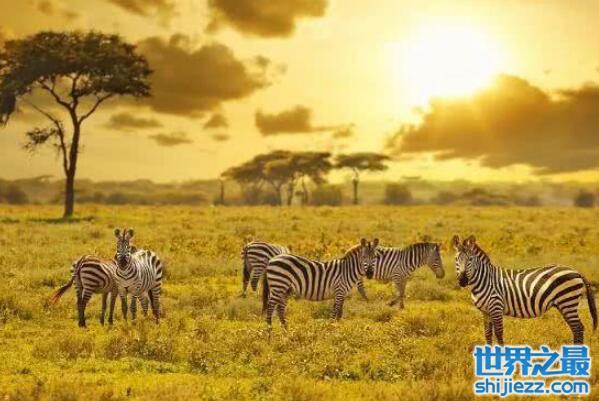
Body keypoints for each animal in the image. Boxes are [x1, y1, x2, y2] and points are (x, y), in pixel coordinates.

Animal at [452, 234, 597, 345]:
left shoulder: (496, 307)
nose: (463, 281)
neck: (485, 280)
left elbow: (499, 333)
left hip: (568, 301)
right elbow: (487, 334)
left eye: (470, 259)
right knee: (576, 328)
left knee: (578, 328)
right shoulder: (485, 311)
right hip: (565, 304)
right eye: (456, 259)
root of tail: (576, 271)